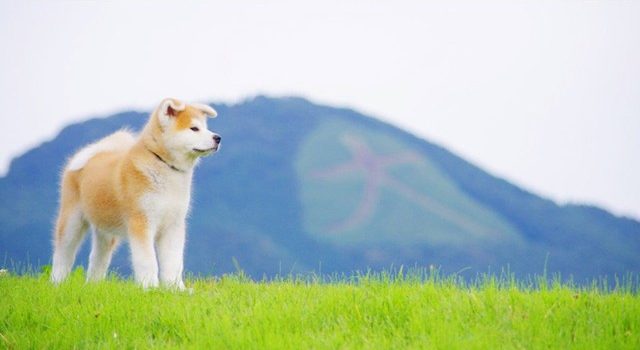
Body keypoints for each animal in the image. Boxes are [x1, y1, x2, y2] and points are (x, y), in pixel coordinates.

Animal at [50, 97, 220, 288]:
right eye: (194, 128)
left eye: (206, 127)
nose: (218, 137)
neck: (163, 165)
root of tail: (95, 151)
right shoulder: (141, 222)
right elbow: (148, 261)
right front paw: (150, 287)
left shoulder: (173, 225)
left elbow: (174, 262)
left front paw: (175, 288)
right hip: (72, 220)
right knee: (63, 255)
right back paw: (56, 283)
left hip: (106, 231)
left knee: (97, 258)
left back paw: (94, 286)